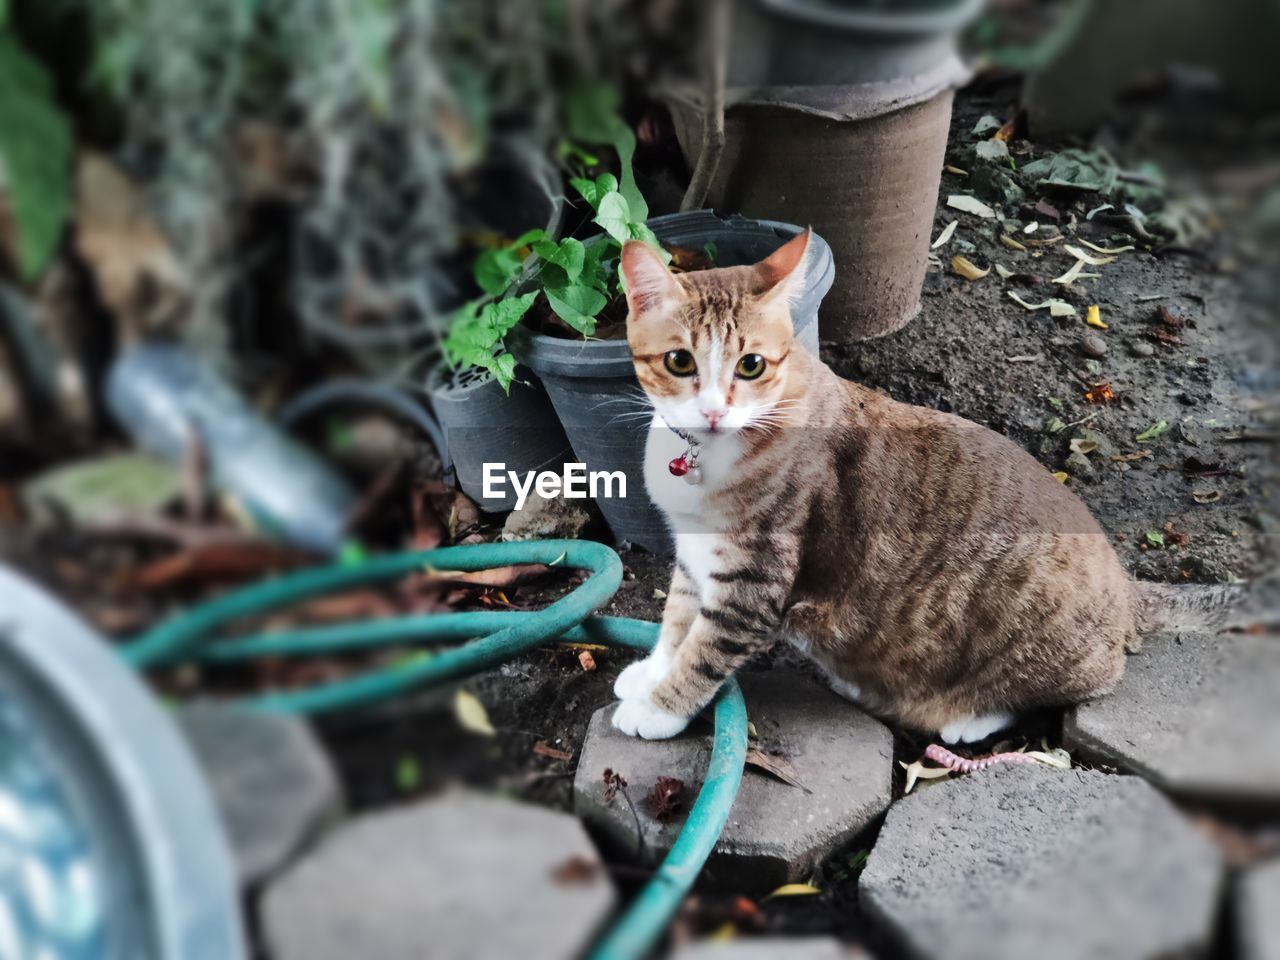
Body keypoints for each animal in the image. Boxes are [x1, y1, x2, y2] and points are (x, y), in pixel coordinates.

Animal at [609, 231, 1228, 742]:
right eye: (679, 361)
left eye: (752, 365)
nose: (713, 411)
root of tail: (1126, 588)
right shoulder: (695, 556)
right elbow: (677, 620)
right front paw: (651, 673)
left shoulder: (753, 584)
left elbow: (705, 650)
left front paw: (660, 707)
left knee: (1053, 689)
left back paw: (967, 718)